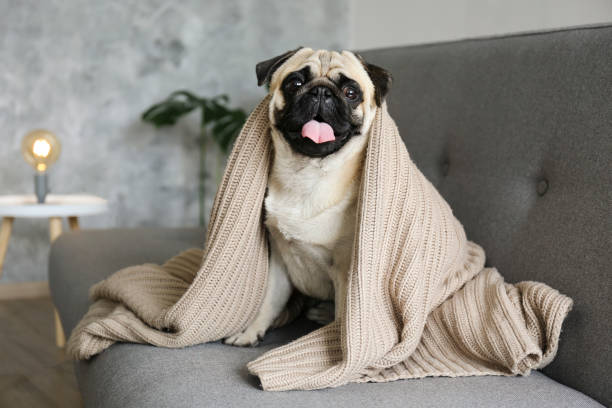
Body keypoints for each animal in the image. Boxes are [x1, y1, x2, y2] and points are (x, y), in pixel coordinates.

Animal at [225, 48, 392, 348]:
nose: (321, 92)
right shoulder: (279, 261)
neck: (307, 174)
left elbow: (344, 316)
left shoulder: (345, 270)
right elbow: (269, 301)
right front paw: (251, 331)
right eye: (295, 83)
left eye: (351, 92)